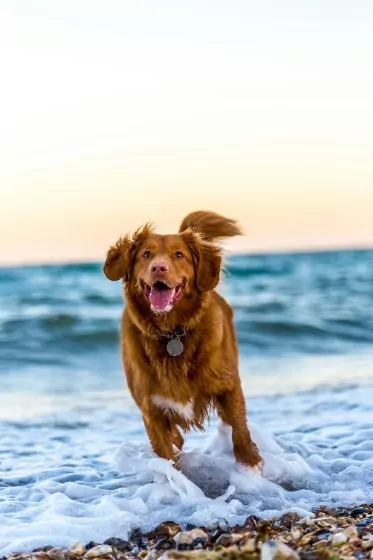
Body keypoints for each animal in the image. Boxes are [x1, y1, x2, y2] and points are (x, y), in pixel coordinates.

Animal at [102, 212, 262, 470]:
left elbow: (239, 429)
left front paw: (251, 463)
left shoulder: (228, 385)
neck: (172, 334)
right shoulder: (151, 410)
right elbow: (167, 454)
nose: (159, 267)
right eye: (146, 254)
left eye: (179, 255)